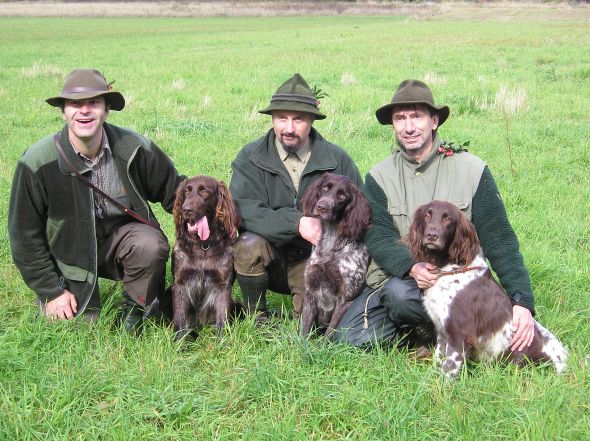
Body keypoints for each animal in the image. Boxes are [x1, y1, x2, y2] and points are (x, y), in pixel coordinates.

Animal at [408, 199, 568, 378]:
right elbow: (438, 358)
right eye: (427, 215)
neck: (451, 268)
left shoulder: (458, 334)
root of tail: (565, 364)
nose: (431, 235)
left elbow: (448, 369)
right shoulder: (442, 331)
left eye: (447, 219)